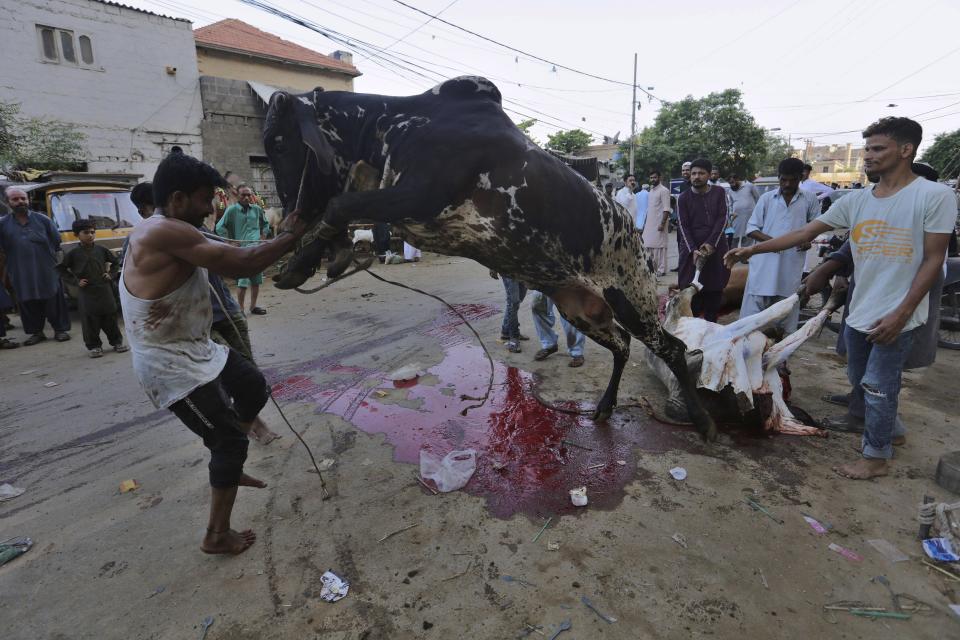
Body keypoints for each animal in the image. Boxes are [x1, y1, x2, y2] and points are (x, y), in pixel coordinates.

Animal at [264, 76, 720, 440]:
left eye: (281, 143)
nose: (288, 213)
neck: (391, 126)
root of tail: (636, 239)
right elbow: (343, 210)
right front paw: (308, 262)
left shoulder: (417, 195)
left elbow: (339, 204)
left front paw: (304, 262)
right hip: (580, 309)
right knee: (622, 346)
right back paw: (606, 407)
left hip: (632, 300)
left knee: (673, 349)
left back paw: (703, 422)